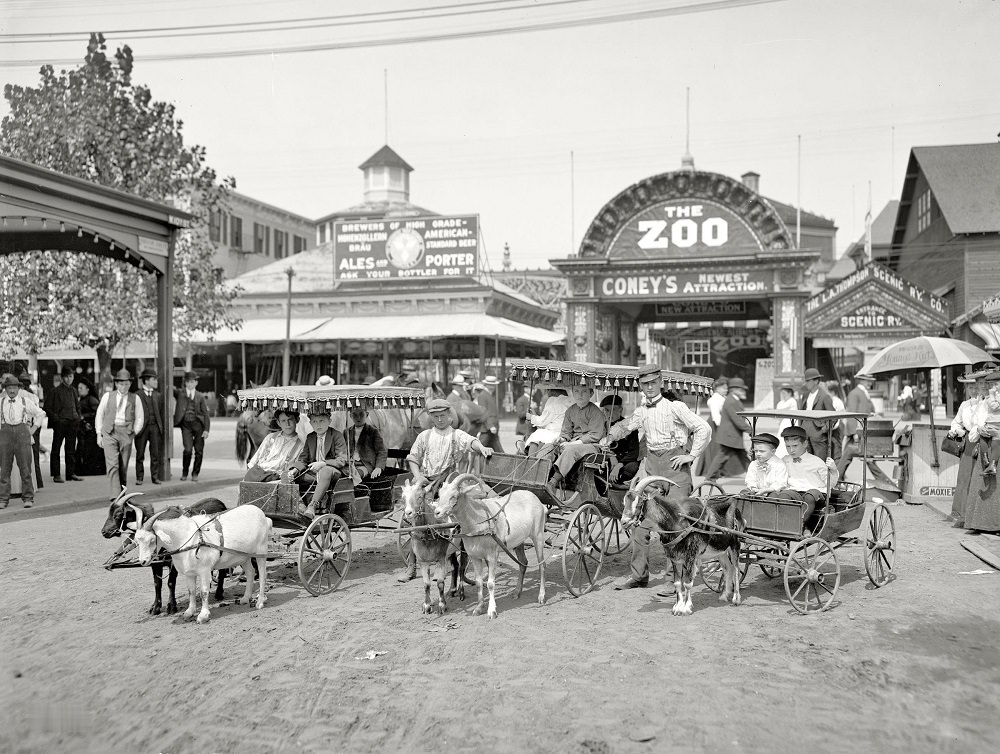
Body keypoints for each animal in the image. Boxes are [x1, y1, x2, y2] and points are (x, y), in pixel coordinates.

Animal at [133, 502, 276, 620]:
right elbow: (191, 591)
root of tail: (264, 516)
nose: (143, 561)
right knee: (251, 573)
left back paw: (260, 602)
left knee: (262, 574)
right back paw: (245, 599)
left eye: (152, 540)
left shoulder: (205, 570)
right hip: (243, 556)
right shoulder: (189, 573)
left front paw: (203, 615)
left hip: (260, 551)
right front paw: (189, 612)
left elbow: (204, 592)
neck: (188, 537)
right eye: (137, 540)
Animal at [434, 472, 548, 620]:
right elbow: (478, 582)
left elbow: (490, 583)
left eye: (454, 496)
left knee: (542, 565)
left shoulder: (492, 556)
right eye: (440, 494)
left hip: (538, 535)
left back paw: (541, 596)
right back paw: (516, 592)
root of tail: (539, 502)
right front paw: (478, 608)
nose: (437, 512)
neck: (478, 522)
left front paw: (492, 611)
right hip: (519, 542)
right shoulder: (475, 557)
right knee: (523, 563)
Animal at [624, 478, 744, 612]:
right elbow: (677, 583)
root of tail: (737, 510)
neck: (677, 522)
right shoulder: (674, 557)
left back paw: (736, 599)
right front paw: (677, 607)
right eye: (624, 502)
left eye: (639, 503)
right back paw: (724, 596)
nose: (624, 522)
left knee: (736, 568)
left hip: (735, 544)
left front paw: (686, 608)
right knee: (728, 567)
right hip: (720, 550)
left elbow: (687, 582)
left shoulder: (690, 555)